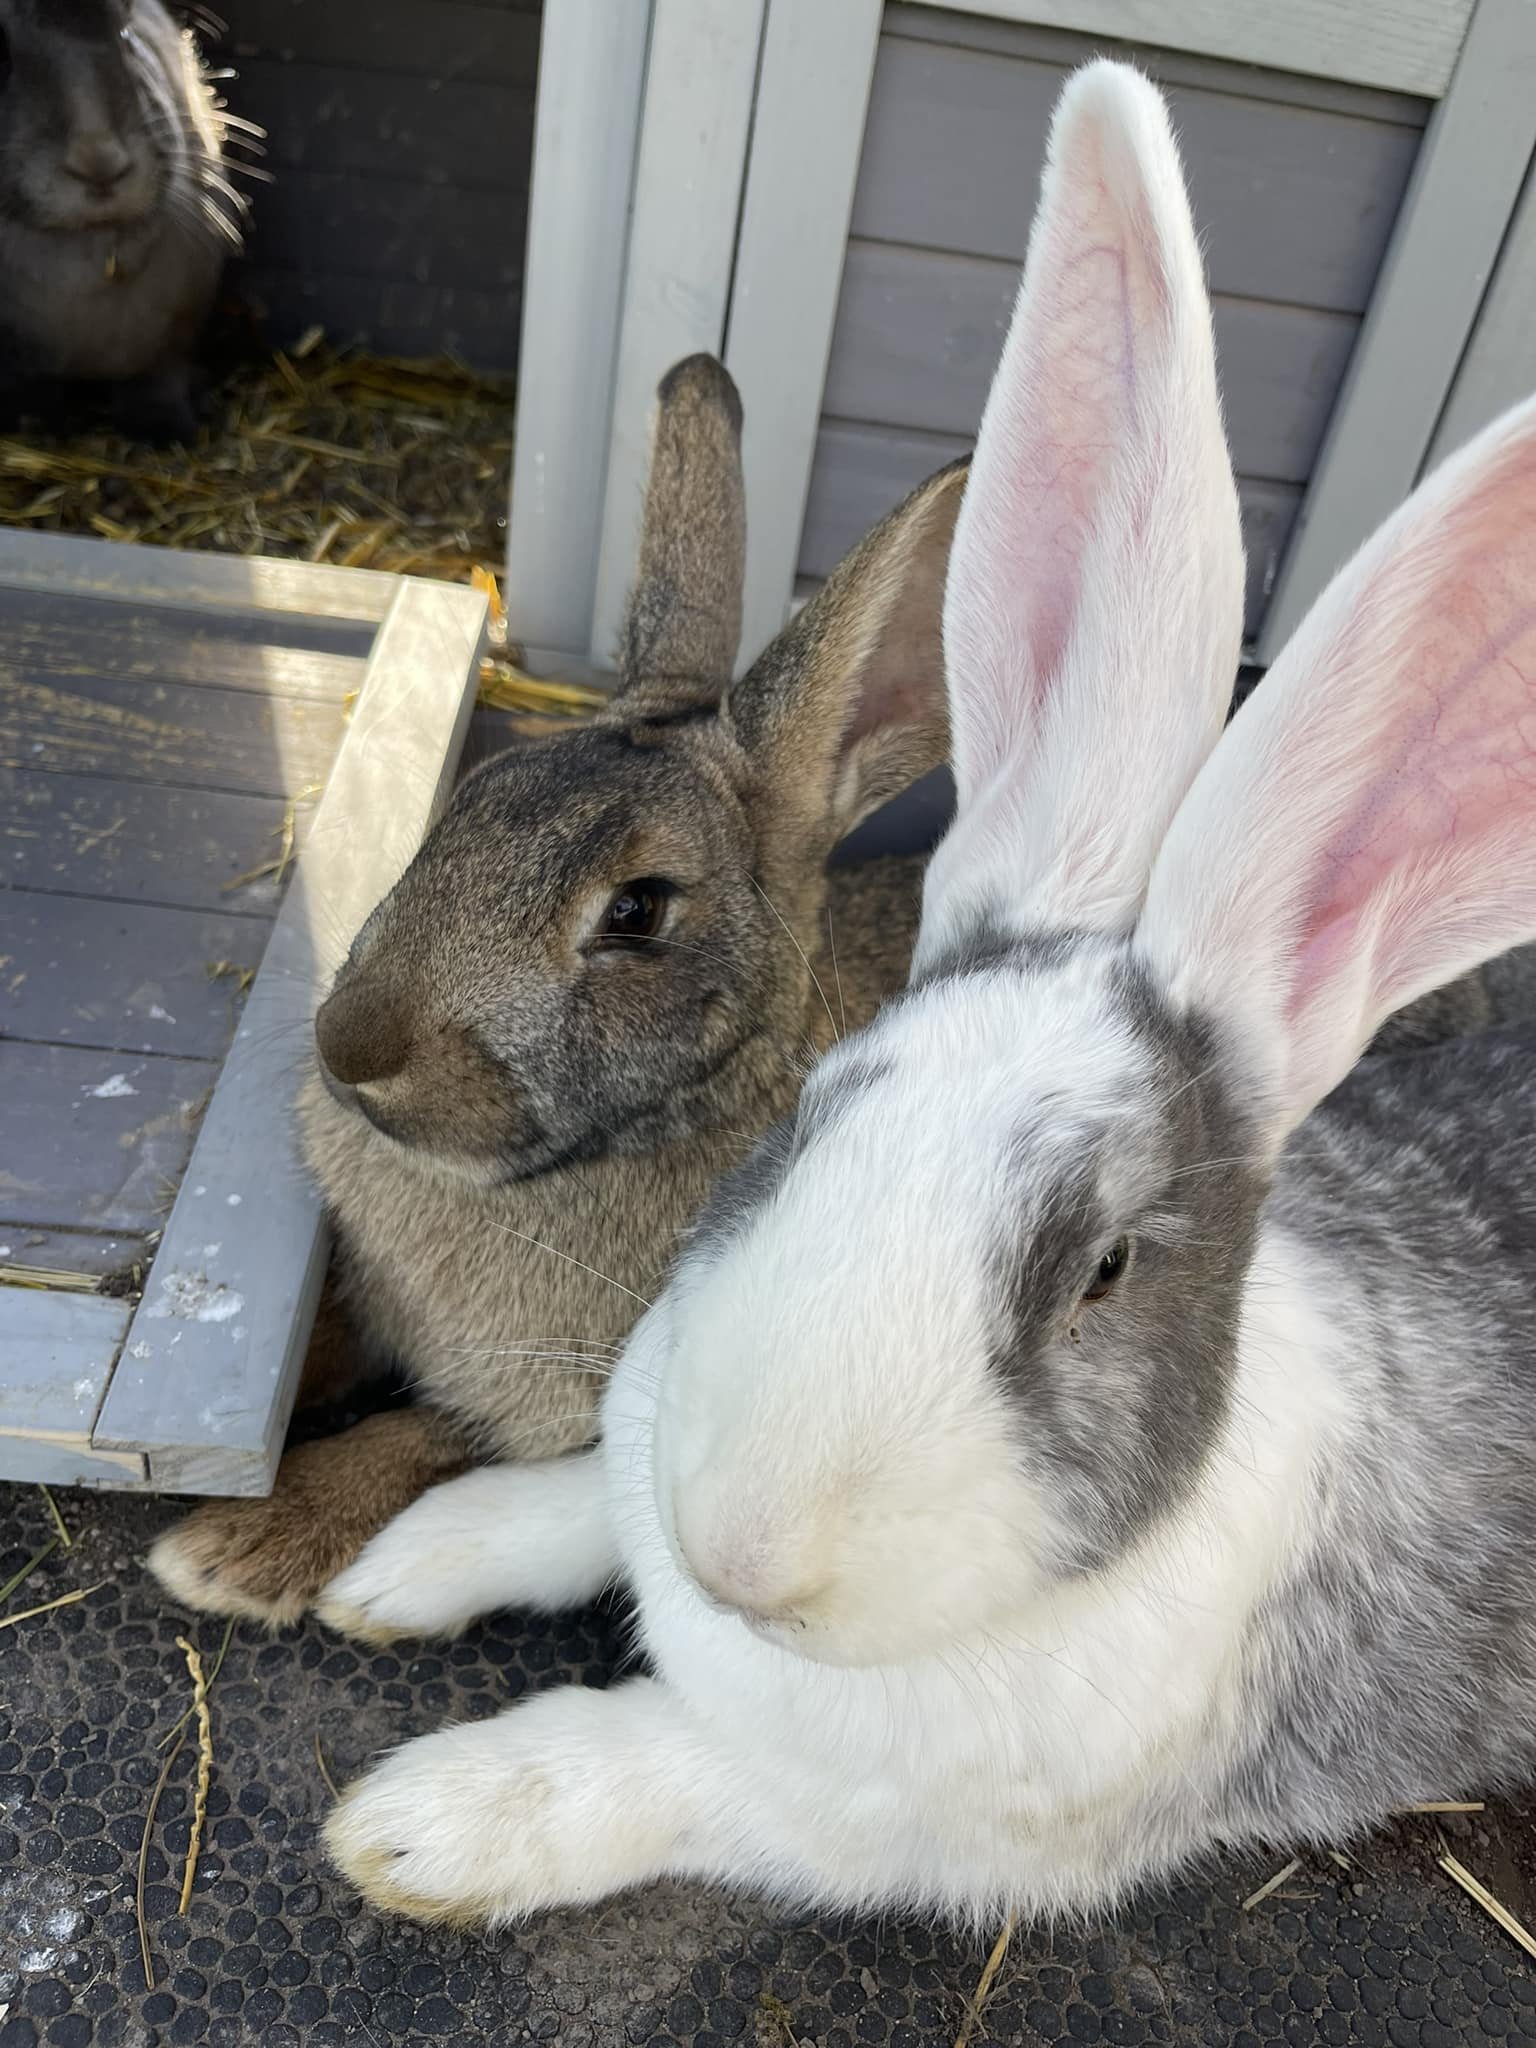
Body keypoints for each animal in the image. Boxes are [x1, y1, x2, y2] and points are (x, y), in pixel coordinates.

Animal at [0, 0, 243, 440]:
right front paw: (36, 426)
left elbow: (156, 384)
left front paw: (168, 431)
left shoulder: (169, 344)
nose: (101, 164)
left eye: (125, 36)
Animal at [319, 59, 1531, 1916]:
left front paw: (425, 1821)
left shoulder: (868, 1817)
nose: (745, 1549)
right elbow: (581, 1487)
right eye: (817, 1118)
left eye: (1106, 1270)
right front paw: (406, 1562)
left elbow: (648, 1759)